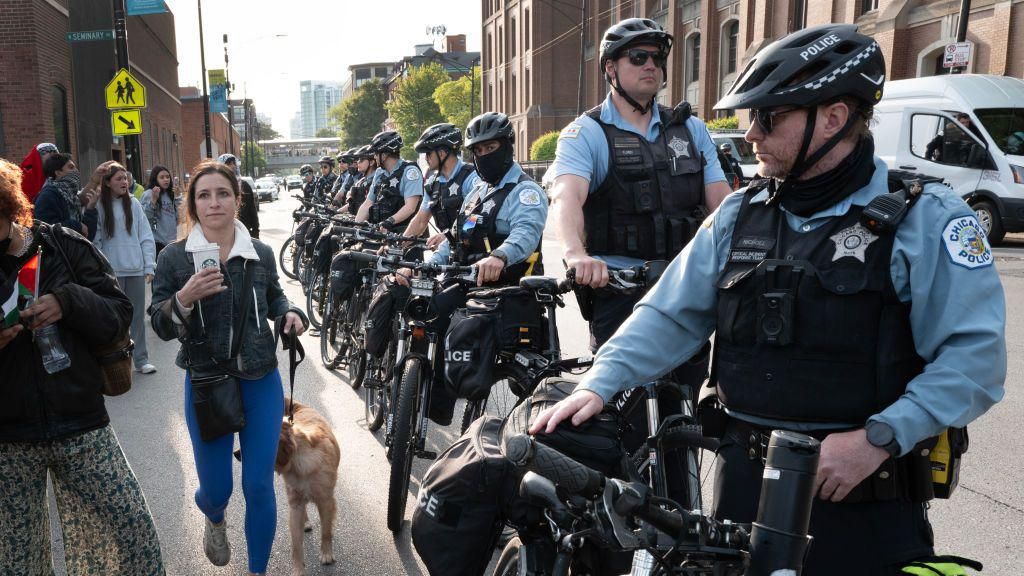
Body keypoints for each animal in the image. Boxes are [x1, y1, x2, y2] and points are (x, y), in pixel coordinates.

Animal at [276, 399, 339, 573]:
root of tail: (300, 407)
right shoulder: (295, 505)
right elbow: (296, 545)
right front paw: (298, 570)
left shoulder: (326, 502)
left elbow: (326, 531)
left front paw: (326, 553)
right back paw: (305, 522)